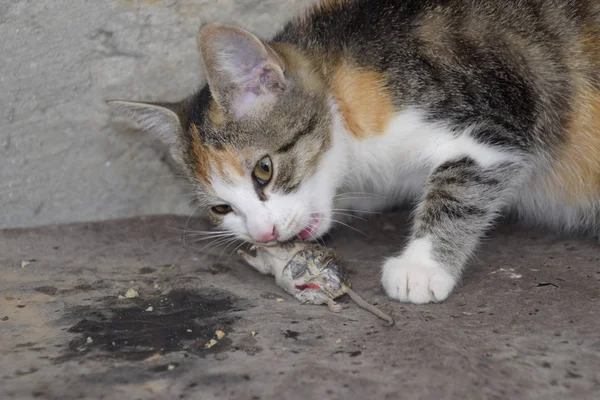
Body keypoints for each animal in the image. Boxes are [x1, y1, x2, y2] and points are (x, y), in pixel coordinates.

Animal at [108, 0, 600, 304]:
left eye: (264, 170)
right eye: (220, 208)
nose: (264, 235)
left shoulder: (500, 114)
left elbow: (462, 184)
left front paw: (422, 266)